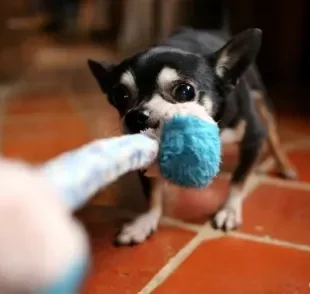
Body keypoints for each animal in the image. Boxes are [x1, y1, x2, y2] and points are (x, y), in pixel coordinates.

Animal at [86, 26, 296, 245]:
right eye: (120, 96)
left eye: (185, 91)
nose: (135, 116)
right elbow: (152, 192)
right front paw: (146, 221)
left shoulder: (253, 138)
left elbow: (238, 181)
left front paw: (229, 210)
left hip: (261, 99)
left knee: (273, 133)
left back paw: (285, 166)